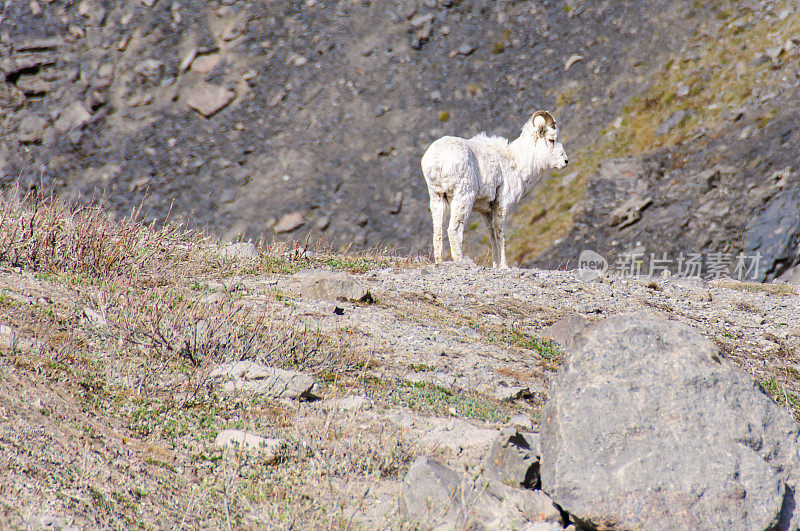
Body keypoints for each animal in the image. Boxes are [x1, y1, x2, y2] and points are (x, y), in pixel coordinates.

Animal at [418, 112, 568, 270]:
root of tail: (437, 160)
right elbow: (500, 234)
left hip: (437, 198)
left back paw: (439, 262)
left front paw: (495, 265)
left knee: (438, 231)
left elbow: (492, 236)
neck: (516, 163)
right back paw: (461, 261)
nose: (565, 161)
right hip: (463, 198)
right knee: (454, 229)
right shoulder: (502, 206)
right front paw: (504, 266)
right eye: (551, 139)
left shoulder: (487, 212)